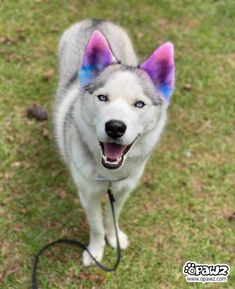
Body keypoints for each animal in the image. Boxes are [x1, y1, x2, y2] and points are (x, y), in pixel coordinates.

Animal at [53, 19, 174, 264]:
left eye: (139, 104)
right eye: (102, 97)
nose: (115, 127)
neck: (109, 176)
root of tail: (95, 20)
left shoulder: (122, 192)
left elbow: (111, 219)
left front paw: (114, 238)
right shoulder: (87, 195)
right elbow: (97, 226)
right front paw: (96, 251)